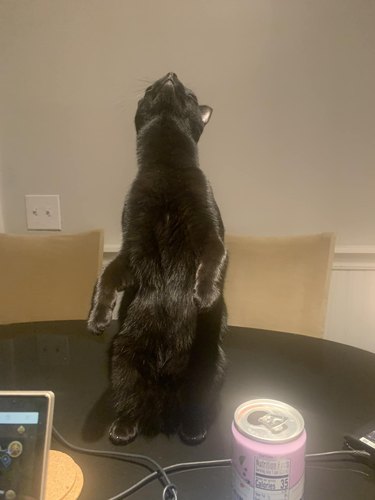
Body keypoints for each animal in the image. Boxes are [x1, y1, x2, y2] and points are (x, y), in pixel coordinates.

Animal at [89, 73, 229, 446]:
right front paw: (97, 317)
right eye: (152, 87)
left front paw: (204, 295)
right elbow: (106, 276)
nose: (171, 75)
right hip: (122, 356)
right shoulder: (131, 247)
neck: (166, 167)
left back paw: (193, 431)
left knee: (194, 405)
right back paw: (122, 430)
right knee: (130, 401)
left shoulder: (211, 231)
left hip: (211, 364)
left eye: (190, 94)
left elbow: (215, 259)